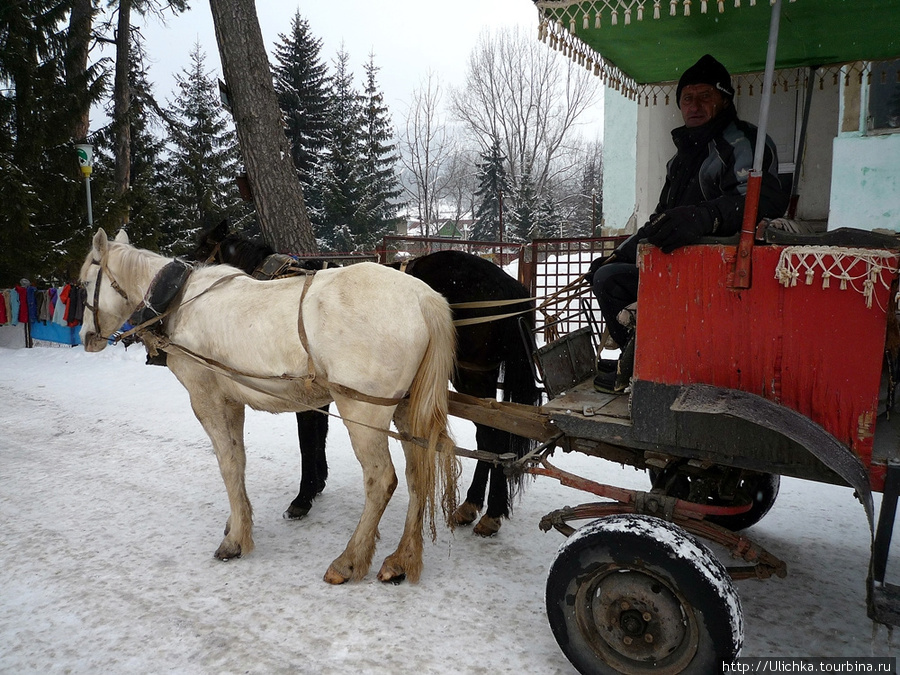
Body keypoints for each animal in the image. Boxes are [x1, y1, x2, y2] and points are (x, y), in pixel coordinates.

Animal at [79, 230, 458, 584]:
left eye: (84, 284)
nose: (85, 338)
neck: (181, 301)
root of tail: (424, 298)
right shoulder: (232, 400)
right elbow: (238, 459)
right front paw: (238, 521)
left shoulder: (205, 397)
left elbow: (228, 463)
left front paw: (235, 541)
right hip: (405, 409)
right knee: (417, 475)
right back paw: (401, 559)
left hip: (362, 409)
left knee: (381, 480)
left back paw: (348, 560)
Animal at [190, 224, 536, 536]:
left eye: (200, 251)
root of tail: (511, 287)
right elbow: (318, 435)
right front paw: (317, 483)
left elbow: (307, 438)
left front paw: (303, 496)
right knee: (492, 440)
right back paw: (479, 506)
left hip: (472, 376)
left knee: (492, 438)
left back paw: (487, 511)